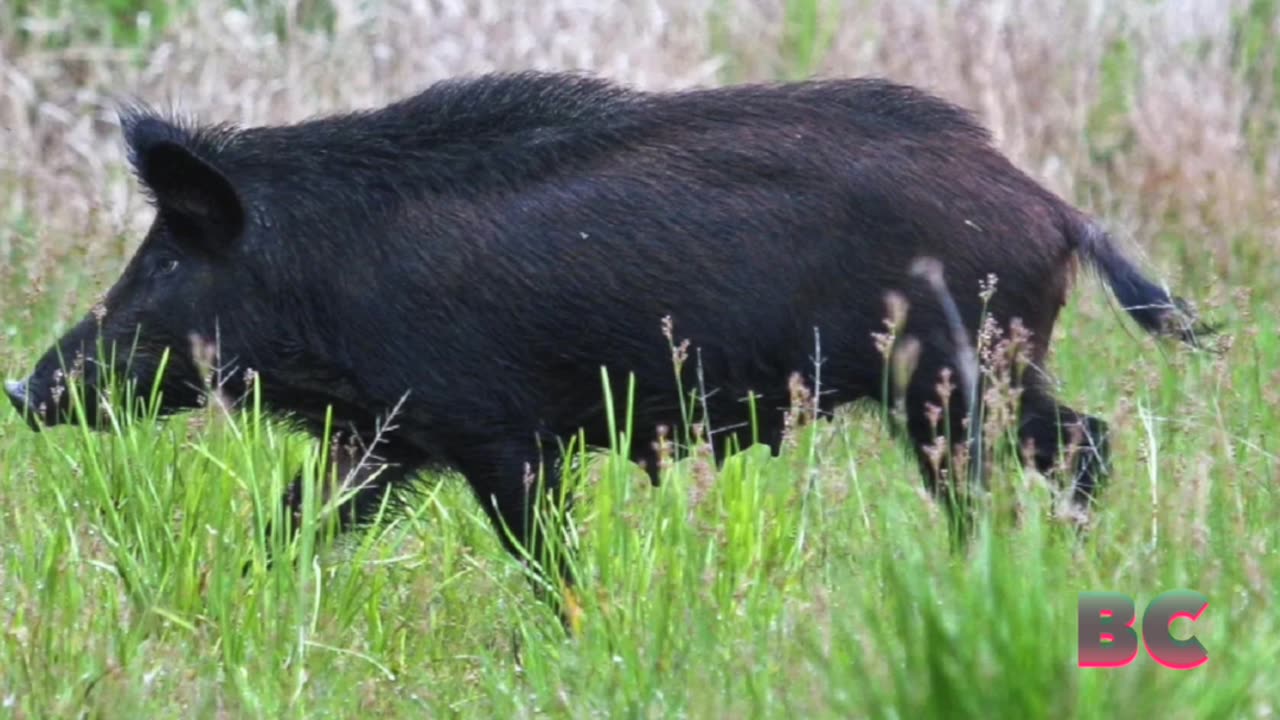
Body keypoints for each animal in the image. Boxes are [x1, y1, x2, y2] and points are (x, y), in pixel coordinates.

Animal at [5, 71, 1208, 589]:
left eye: (166, 259)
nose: (23, 390)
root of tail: (1054, 208)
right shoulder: (388, 439)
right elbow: (292, 525)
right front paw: (233, 594)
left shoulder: (498, 435)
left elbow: (545, 561)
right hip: (979, 377)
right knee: (1080, 444)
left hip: (952, 380)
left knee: (1049, 456)